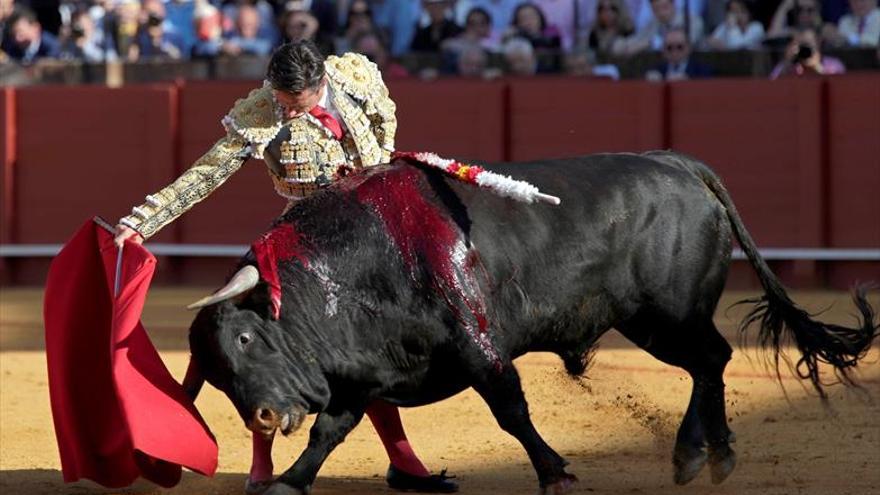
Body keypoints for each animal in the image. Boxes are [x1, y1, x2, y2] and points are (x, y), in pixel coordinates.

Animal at [182, 153, 876, 494]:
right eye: (216, 376)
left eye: (245, 336)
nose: (261, 417)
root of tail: (684, 167)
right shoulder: (367, 369)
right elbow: (332, 430)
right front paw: (288, 483)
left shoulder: (476, 343)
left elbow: (510, 410)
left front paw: (556, 473)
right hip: (651, 324)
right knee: (710, 362)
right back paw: (704, 452)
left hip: (669, 313)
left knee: (712, 359)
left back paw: (702, 452)